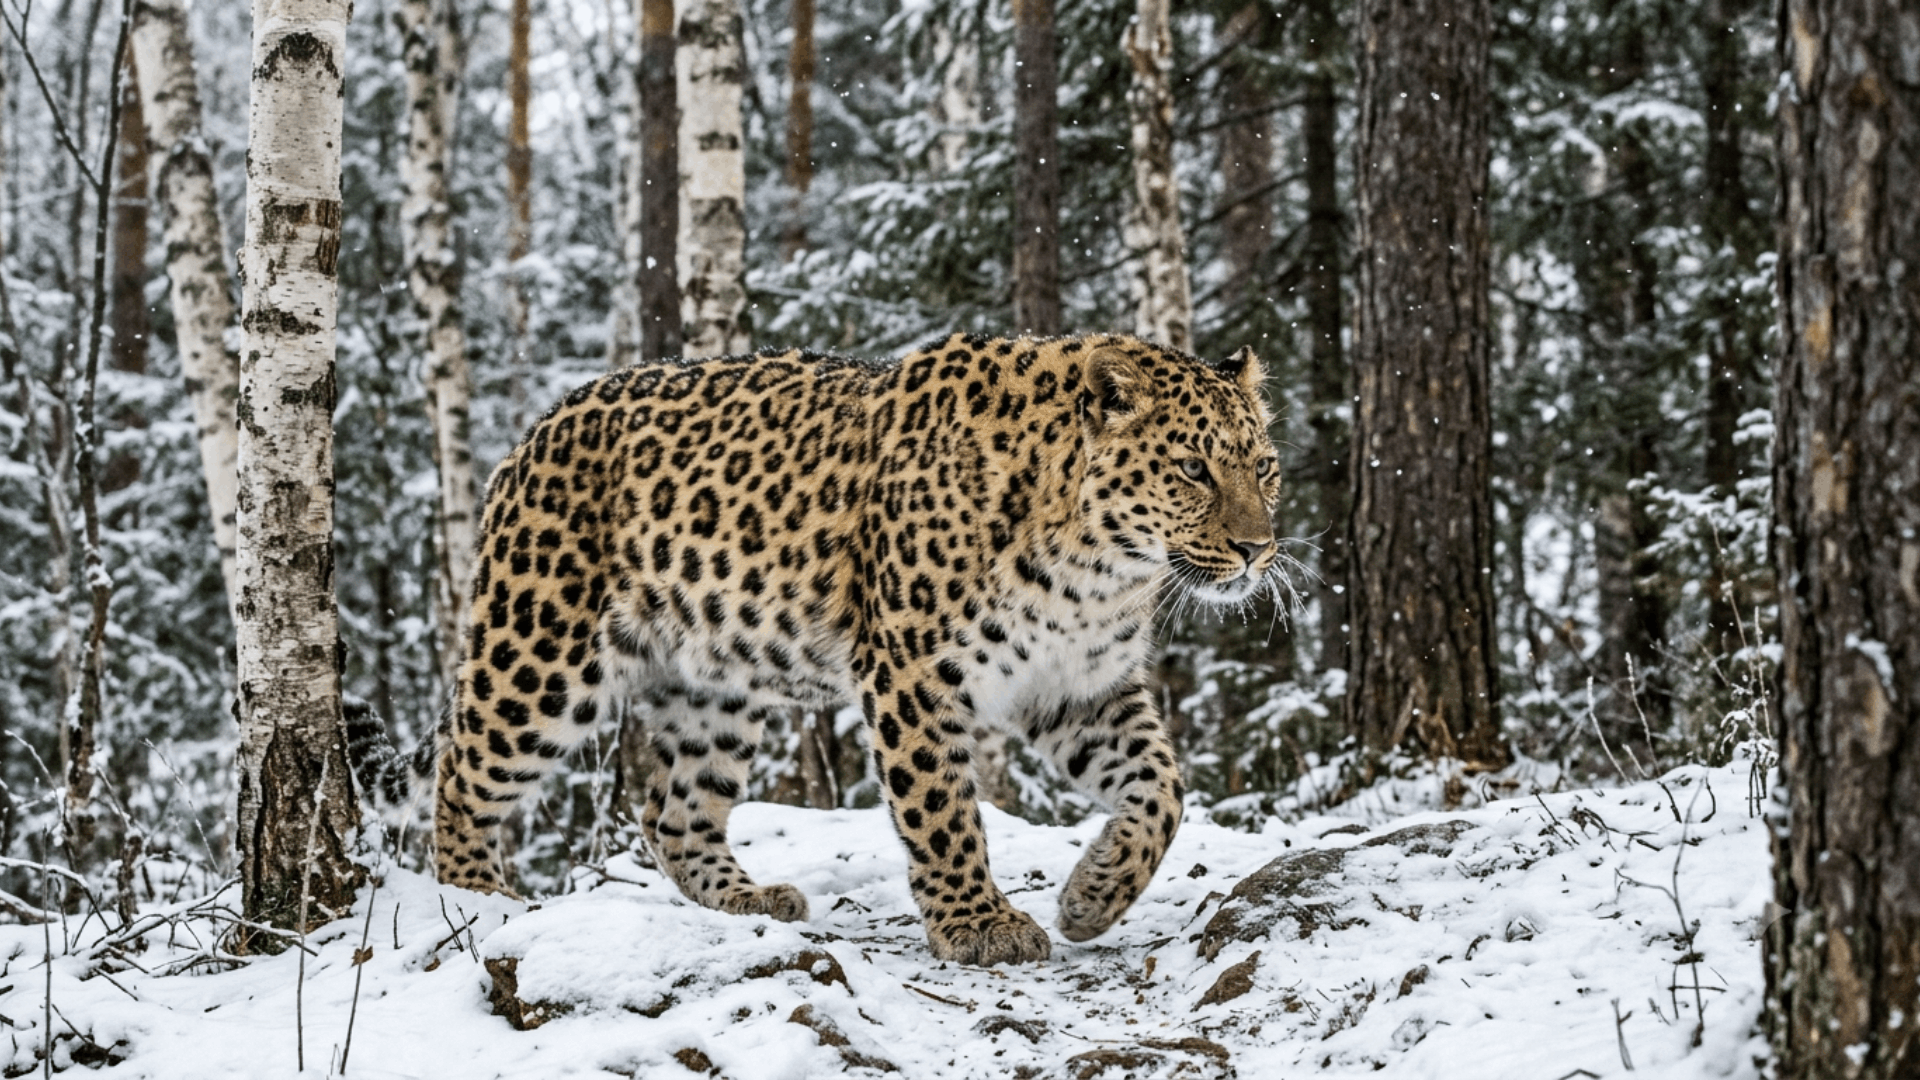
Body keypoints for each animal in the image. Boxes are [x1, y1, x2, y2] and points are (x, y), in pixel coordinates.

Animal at [349, 331, 1284, 967]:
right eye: (1193, 469)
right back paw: (480, 903)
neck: (1098, 568)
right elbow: (942, 808)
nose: (1257, 550)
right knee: (463, 775)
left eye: (1265, 467)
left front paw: (1092, 898)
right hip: (541, 652)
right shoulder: (914, 672)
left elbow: (1162, 791)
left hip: (713, 687)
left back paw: (745, 900)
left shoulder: (1079, 686)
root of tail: (527, 436)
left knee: (669, 808)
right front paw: (978, 925)